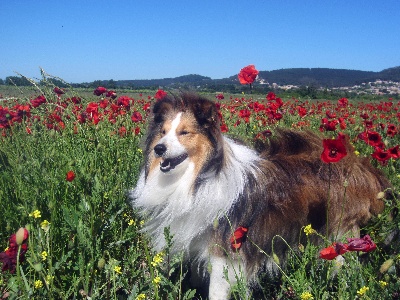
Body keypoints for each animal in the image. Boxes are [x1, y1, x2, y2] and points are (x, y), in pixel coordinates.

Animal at [131, 92, 390, 298]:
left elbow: (217, 290)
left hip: (340, 234)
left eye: (185, 132)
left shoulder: (225, 252)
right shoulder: (197, 240)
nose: (159, 149)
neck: (199, 176)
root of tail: (359, 164)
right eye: (163, 132)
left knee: (345, 265)